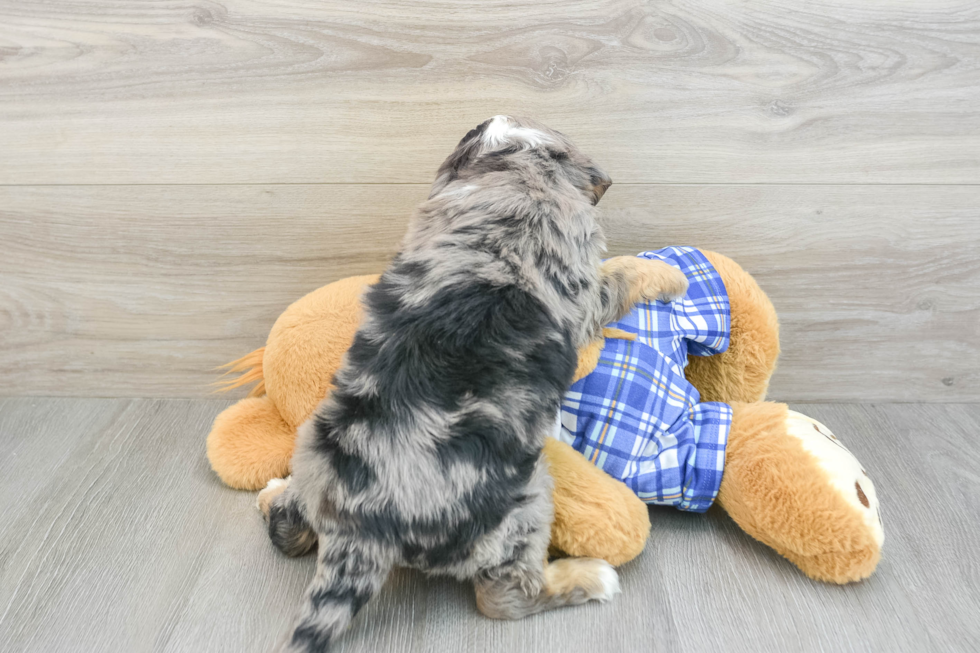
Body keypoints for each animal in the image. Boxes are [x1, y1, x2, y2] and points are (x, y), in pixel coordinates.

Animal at [260, 114, 688, 648]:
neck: (512, 167)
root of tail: (361, 527)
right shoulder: (586, 291)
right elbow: (623, 272)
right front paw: (669, 273)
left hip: (314, 449)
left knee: (286, 530)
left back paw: (273, 493)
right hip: (523, 502)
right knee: (503, 597)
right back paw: (591, 577)